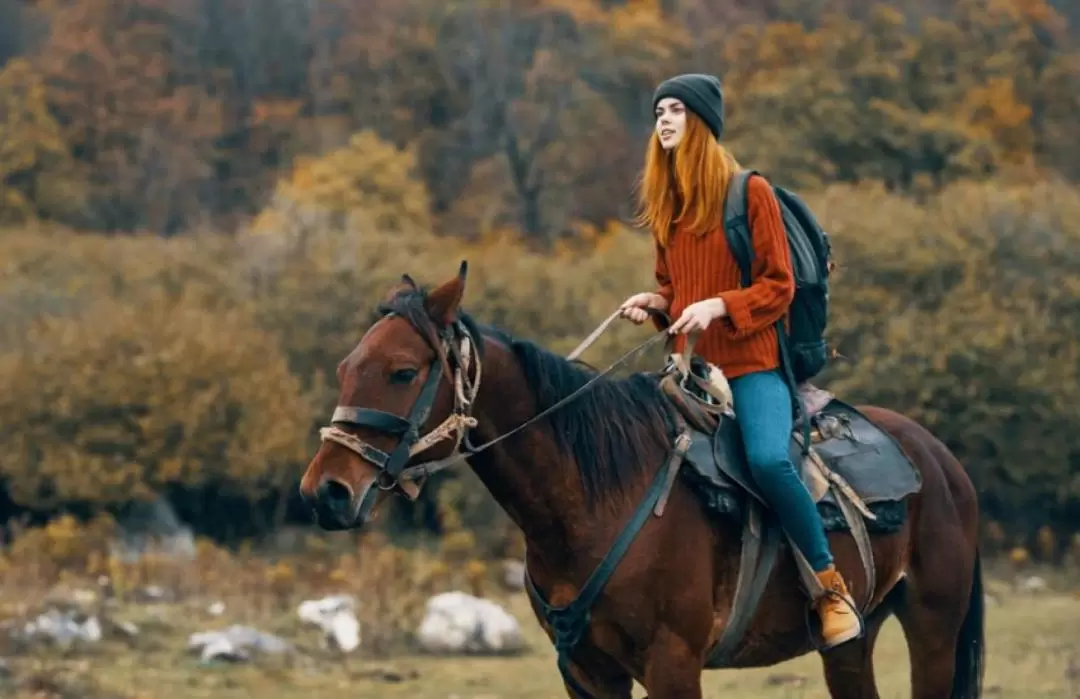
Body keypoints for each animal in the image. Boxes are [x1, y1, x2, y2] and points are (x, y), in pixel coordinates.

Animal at [300, 263, 984, 699]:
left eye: (402, 371)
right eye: (345, 367)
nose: (325, 493)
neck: (593, 500)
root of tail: (941, 462)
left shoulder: (673, 666)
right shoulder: (586, 674)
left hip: (932, 630)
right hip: (850, 647)